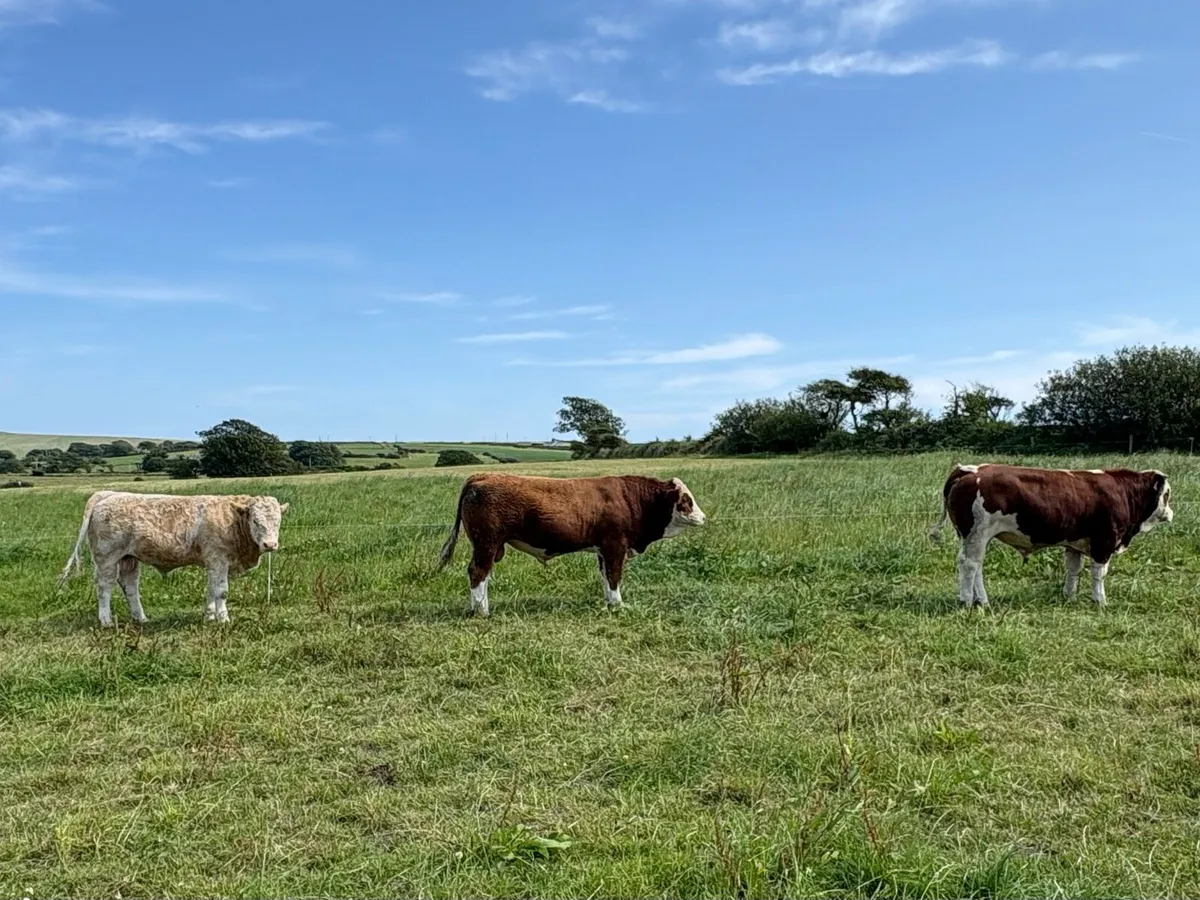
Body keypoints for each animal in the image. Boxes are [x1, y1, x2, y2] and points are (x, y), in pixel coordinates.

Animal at [58, 490, 290, 626]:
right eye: (256, 521)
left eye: (278, 521)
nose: (270, 545)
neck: (232, 519)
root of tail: (108, 494)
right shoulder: (218, 559)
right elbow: (221, 592)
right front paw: (223, 619)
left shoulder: (213, 563)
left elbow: (211, 590)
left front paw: (209, 616)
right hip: (107, 558)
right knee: (104, 588)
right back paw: (106, 620)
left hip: (129, 559)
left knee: (130, 587)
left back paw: (141, 618)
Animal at [436, 473, 707, 615]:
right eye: (686, 500)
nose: (703, 517)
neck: (630, 500)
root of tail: (483, 475)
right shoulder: (615, 545)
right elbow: (614, 576)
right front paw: (618, 605)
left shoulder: (603, 549)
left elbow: (605, 576)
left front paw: (608, 602)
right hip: (487, 544)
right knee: (478, 572)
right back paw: (482, 611)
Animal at [930, 463, 1173, 608]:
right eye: (1167, 494)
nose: (1171, 513)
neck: (1122, 491)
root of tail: (969, 470)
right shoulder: (1104, 542)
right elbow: (1099, 574)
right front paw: (1100, 601)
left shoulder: (1075, 544)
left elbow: (1073, 570)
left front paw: (1069, 596)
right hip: (977, 533)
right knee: (970, 564)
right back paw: (968, 601)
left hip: (973, 537)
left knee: (975, 565)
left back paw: (981, 600)